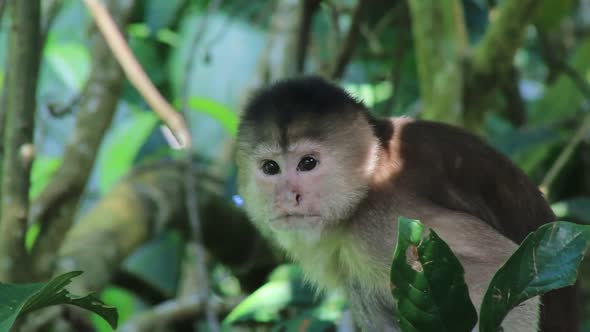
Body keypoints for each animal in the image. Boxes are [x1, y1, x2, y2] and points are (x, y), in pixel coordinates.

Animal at [236, 76, 580, 330]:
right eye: (270, 168)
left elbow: (500, 271)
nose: (286, 198)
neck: (367, 184)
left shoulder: (381, 223)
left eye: (307, 163)